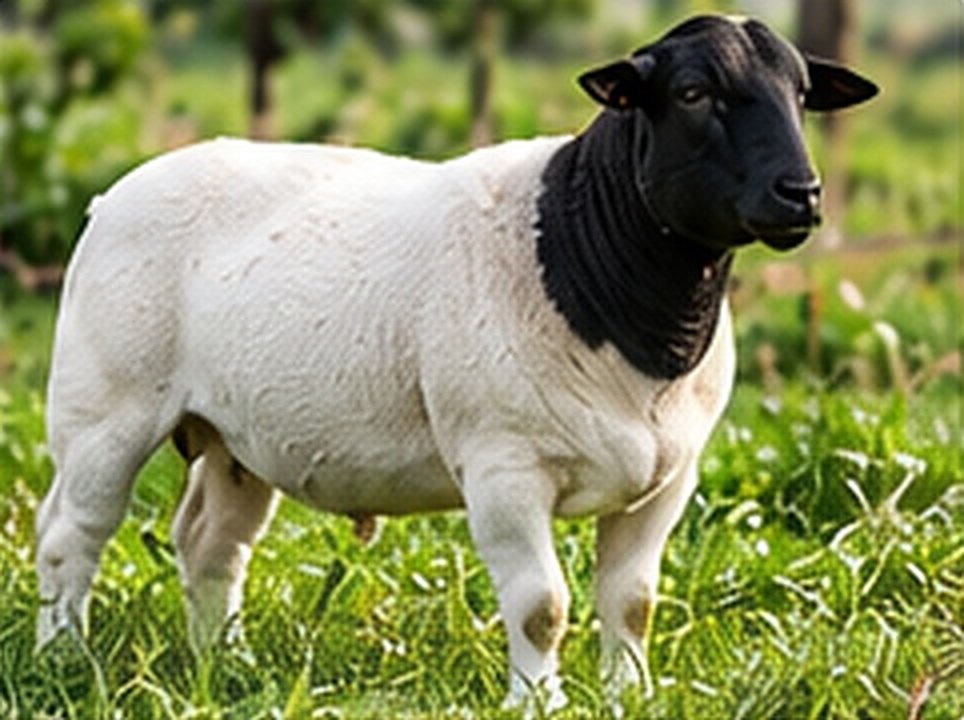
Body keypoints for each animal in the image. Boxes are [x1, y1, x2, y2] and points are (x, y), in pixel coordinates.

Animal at [35, 14, 876, 712]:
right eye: (695, 93)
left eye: (803, 94)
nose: (801, 194)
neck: (591, 259)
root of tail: (111, 196)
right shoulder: (504, 467)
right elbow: (542, 606)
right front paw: (539, 702)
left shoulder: (668, 478)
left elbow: (634, 600)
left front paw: (630, 695)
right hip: (103, 408)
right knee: (70, 533)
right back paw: (65, 658)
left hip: (233, 434)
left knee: (211, 544)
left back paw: (226, 664)